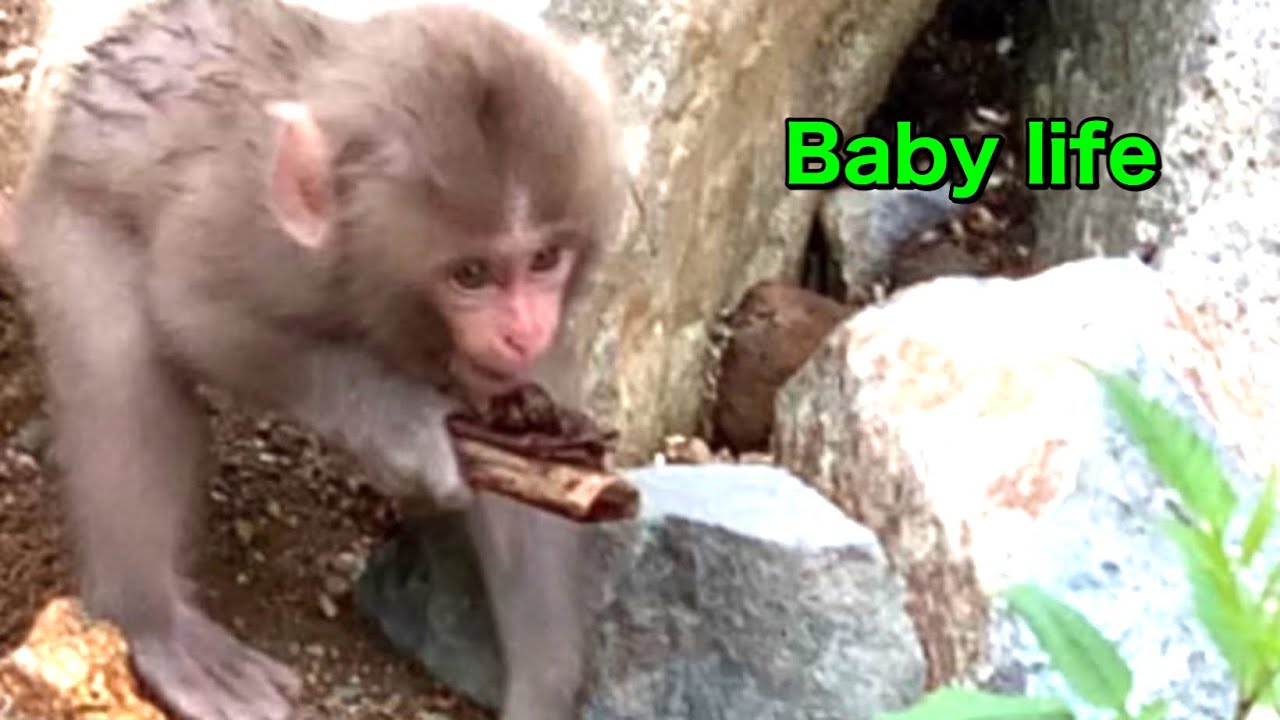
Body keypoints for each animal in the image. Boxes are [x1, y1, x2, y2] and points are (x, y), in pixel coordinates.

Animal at [8, 1, 623, 718]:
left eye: (546, 259)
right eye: (471, 275)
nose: (523, 329)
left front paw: (545, 684)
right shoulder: (250, 229)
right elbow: (195, 309)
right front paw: (399, 425)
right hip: (73, 204)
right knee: (124, 365)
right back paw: (151, 621)